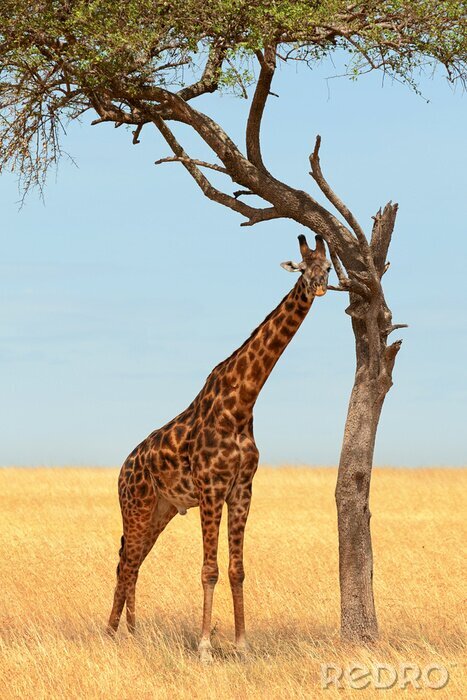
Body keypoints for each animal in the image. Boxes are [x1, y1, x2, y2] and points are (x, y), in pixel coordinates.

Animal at [107, 234, 331, 662]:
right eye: (302, 266)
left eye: (327, 267)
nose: (320, 287)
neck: (242, 403)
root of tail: (123, 469)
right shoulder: (211, 487)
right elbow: (209, 569)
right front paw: (205, 647)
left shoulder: (242, 488)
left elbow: (236, 569)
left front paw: (242, 645)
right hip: (137, 505)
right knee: (126, 562)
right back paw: (110, 634)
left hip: (161, 510)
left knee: (134, 560)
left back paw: (132, 633)